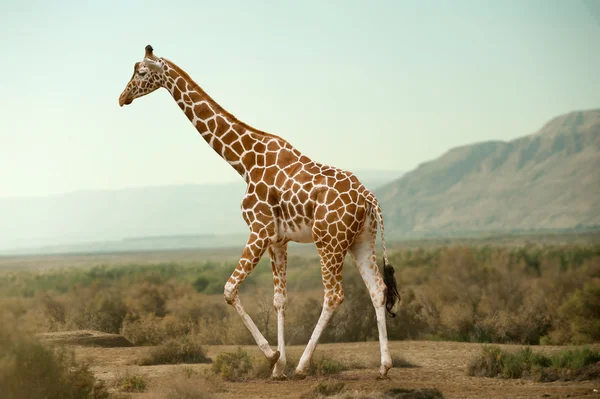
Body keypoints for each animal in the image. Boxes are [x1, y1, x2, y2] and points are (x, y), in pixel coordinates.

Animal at [118, 45, 400, 380]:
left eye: (141, 72)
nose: (122, 97)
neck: (243, 160)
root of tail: (369, 198)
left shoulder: (259, 229)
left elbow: (229, 290)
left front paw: (272, 355)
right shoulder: (278, 239)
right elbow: (280, 300)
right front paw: (278, 368)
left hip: (328, 241)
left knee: (334, 295)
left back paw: (304, 366)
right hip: (361, 240)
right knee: (378, 290)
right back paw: (384, 366)